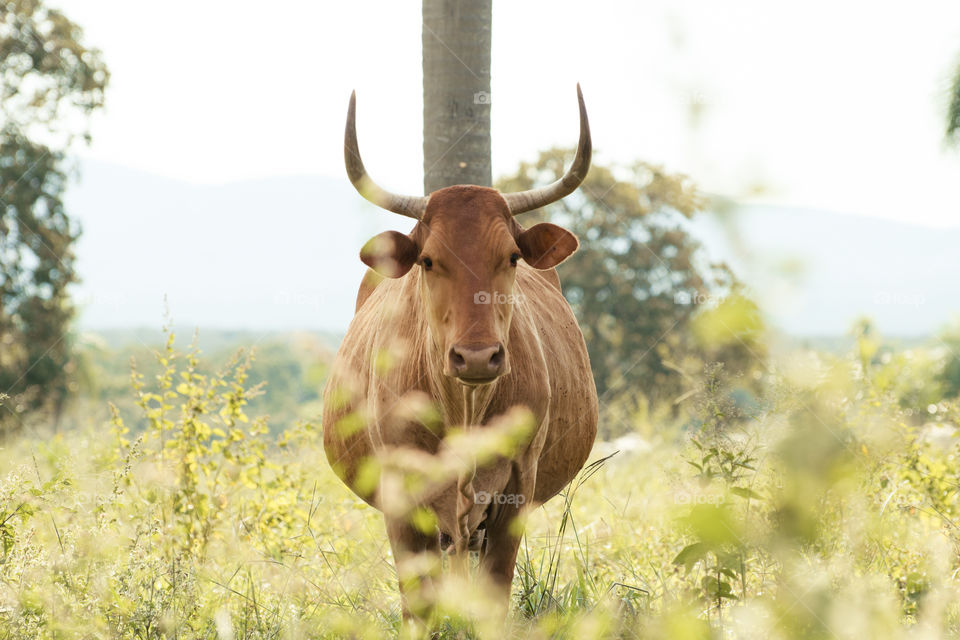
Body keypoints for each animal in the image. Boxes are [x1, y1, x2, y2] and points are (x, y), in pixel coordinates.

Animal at [322, 85, 600, 620]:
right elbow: (418, 603)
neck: (463, 408)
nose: (475, 358)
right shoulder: (402, 497)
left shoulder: (516, 489)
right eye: (429, 261)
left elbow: (493, 594)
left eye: (511, 257)